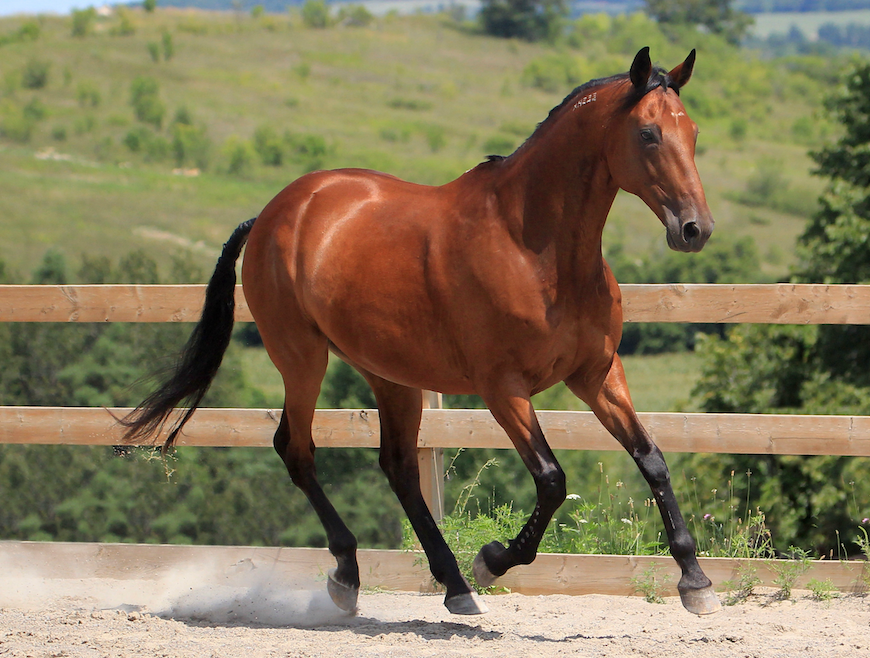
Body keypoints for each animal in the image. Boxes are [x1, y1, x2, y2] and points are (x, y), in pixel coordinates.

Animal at [121, 46, 719, 617]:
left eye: (693, 133)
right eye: (647, 133)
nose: (695, 229)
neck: (534, 248)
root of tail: (272, 214)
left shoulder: (596, 374)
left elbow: (652, 459)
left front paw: (696, 581)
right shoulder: (503, 387)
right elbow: (552, 481)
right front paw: (492, 560)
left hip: (391, 375)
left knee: (398, 466)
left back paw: (453, 586)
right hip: (302, 357)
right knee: (297, 449)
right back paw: (350, 577)